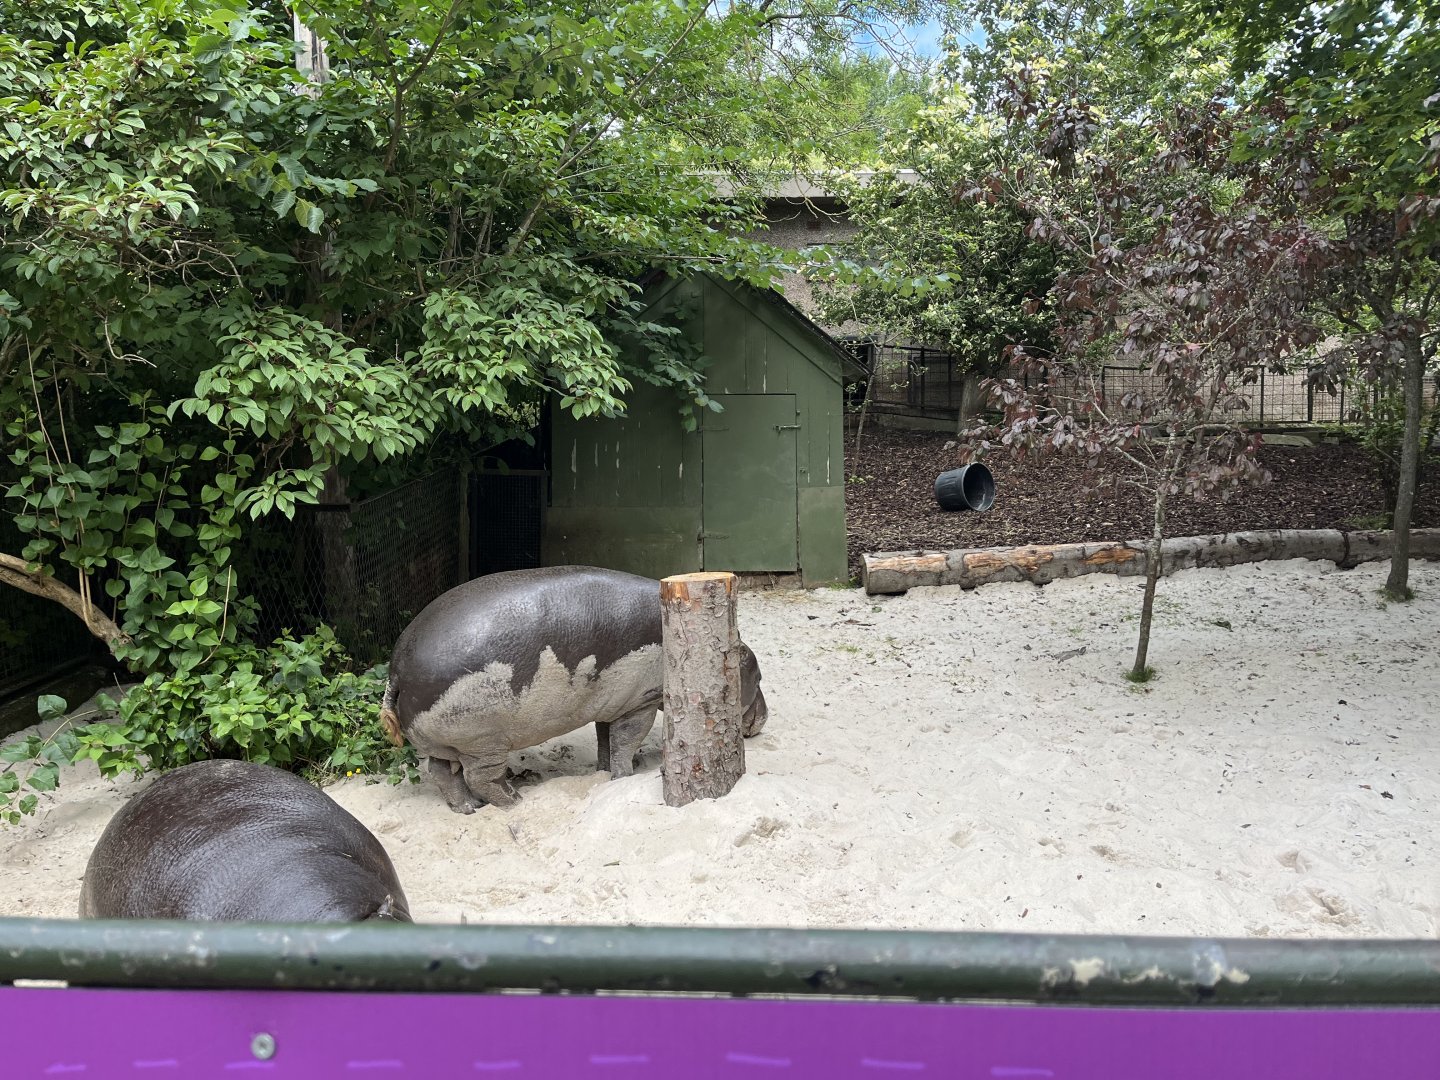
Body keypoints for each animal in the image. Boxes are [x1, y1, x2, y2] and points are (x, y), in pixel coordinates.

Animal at [381, 565, 767, 813]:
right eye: (757, 673)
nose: (763, 718)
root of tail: (396, 670)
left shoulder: (612, 702)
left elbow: (606, 740)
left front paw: (606, 773)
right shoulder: (639, 703)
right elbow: (626, 742)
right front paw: (626, 775)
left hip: (447, 743)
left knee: (442, 773)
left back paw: (468, 809)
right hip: (483, 742)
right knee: (480, 778)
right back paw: (514, 800)